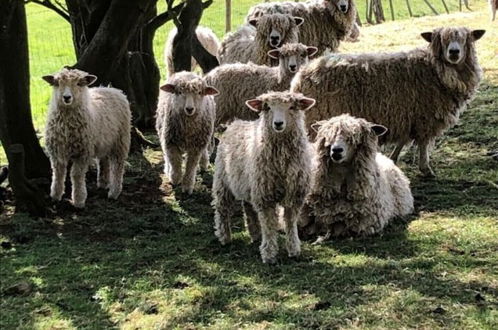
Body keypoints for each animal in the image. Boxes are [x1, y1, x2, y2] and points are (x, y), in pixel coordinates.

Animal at [43, 68, 131, 209]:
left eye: (79, 83)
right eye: (56, 83)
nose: (66, 97)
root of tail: (111, 89)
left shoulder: (83, 153)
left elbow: (76, 175)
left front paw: (79, 200)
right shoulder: (56, 152)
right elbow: (58, 173)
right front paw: (55, 196)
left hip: (121, 139)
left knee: (118, 165)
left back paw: (114, 192)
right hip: (104, 141)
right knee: (104, 160)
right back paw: (103, 183)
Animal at [211, 90, 316, 262]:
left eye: (292, 107)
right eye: (267, 107)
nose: (278, 124)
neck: (281, 160)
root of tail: (235, 123)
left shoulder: (294, 195)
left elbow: (290, 222)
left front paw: (294, 249)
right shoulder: (265, 196)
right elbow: (268, 224)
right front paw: (269, 254)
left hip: (249, 183)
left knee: (248, 208)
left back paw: (254, 234)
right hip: (222, 181)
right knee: (222, 209)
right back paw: (224, 237)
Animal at [292, 26, 486, 177]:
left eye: (464, 39)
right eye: (442, 40)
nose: (454, 52)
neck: (434, 69)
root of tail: (301, 75)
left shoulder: (407, 115)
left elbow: (404, 139)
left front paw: (393, 159)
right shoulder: (424, 115)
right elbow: (423, 143)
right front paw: (426, 168)